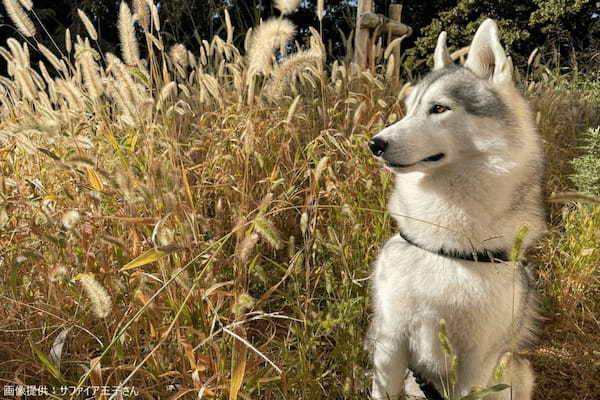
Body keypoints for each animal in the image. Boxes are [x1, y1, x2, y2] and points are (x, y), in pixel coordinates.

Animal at [368, 20, 548, 400]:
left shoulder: (475, 362)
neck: (446, 246)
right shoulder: (390, 344)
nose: (374, 143)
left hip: (513, 371)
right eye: (409, 108)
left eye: (439, 109)